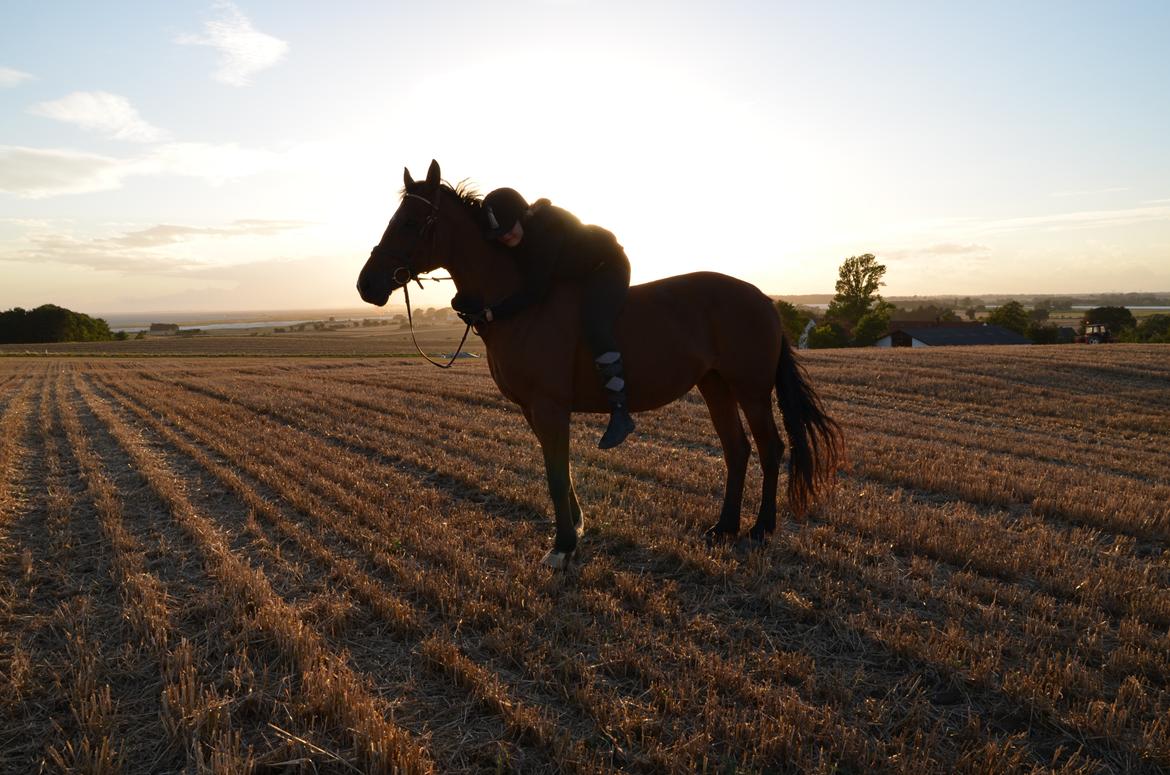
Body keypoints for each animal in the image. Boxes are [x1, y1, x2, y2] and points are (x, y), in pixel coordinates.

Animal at [351, 159, 847, 571]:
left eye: (409, 222)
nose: (366, 285)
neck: (517, 304)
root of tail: (763, 298)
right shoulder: (533, 409)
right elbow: (562, 472)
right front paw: (575, 530)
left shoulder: (549, 405)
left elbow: (556, 475)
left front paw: (562, 547)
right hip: (715, 385)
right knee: (736, 449)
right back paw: (723, 527)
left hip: (750, 387)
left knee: (769, 448)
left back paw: (760, 529)